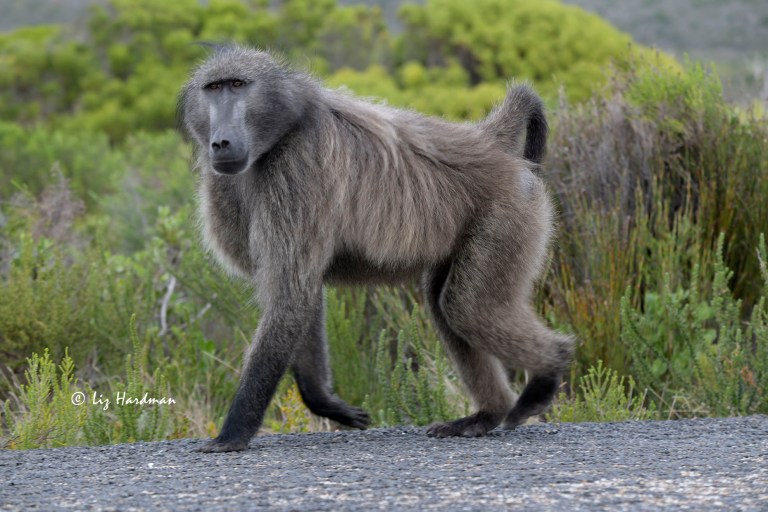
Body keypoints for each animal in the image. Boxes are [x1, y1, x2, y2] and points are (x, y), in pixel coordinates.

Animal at [177, 45, 574, 452]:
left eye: (238, 85)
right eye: (214, 88)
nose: (221, 142)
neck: (282, 130)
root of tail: (488, 141)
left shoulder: (295, 173)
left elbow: (290, 298)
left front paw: (231, 435)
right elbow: (302, 295)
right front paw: (326, 403)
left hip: (507, 215)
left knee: (468, 308)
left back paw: (547, 373)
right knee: (446, 306)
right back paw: (487, 415)